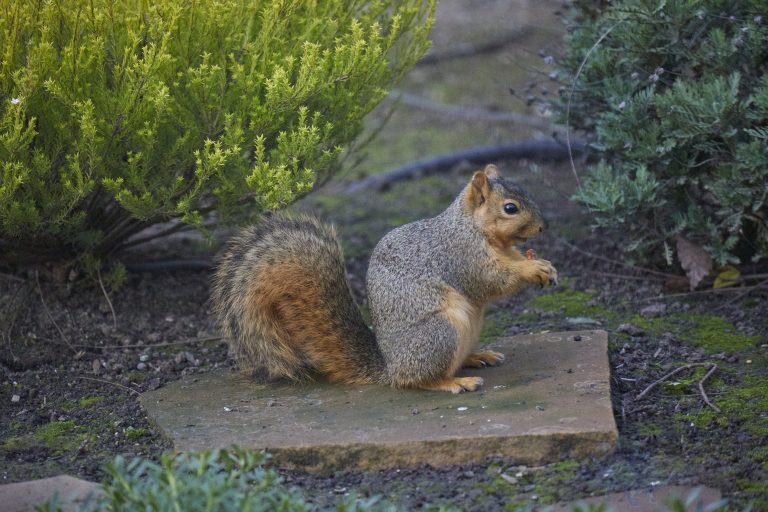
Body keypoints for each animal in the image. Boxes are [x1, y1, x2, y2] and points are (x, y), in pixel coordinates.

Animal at [211, 164, 558, 393]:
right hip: (440, 333)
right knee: (416, 379)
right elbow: (490, 280)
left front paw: (543, 265)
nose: (543, 227)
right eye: (510, 208)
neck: (471, 227)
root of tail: (389, 367)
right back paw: (455, 382)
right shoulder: (460, 255)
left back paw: (477, 356)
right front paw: (531, 270)